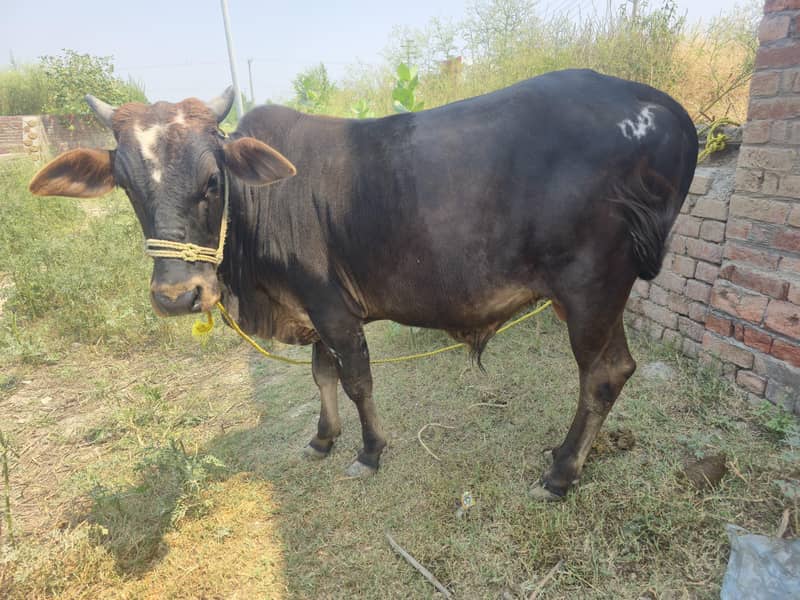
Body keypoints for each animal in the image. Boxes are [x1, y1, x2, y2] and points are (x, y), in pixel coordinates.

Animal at [29, 69, 698, 500]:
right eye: (126, 185)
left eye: (212, 180)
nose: (177, 295)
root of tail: (665, 107)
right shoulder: (311, 309)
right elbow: (321, 375)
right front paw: (323, 439)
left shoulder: (332, 307)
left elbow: (354, 379)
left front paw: (369, 451)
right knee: (614, 370)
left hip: (590, 290)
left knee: (602, 375)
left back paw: (560, 474)